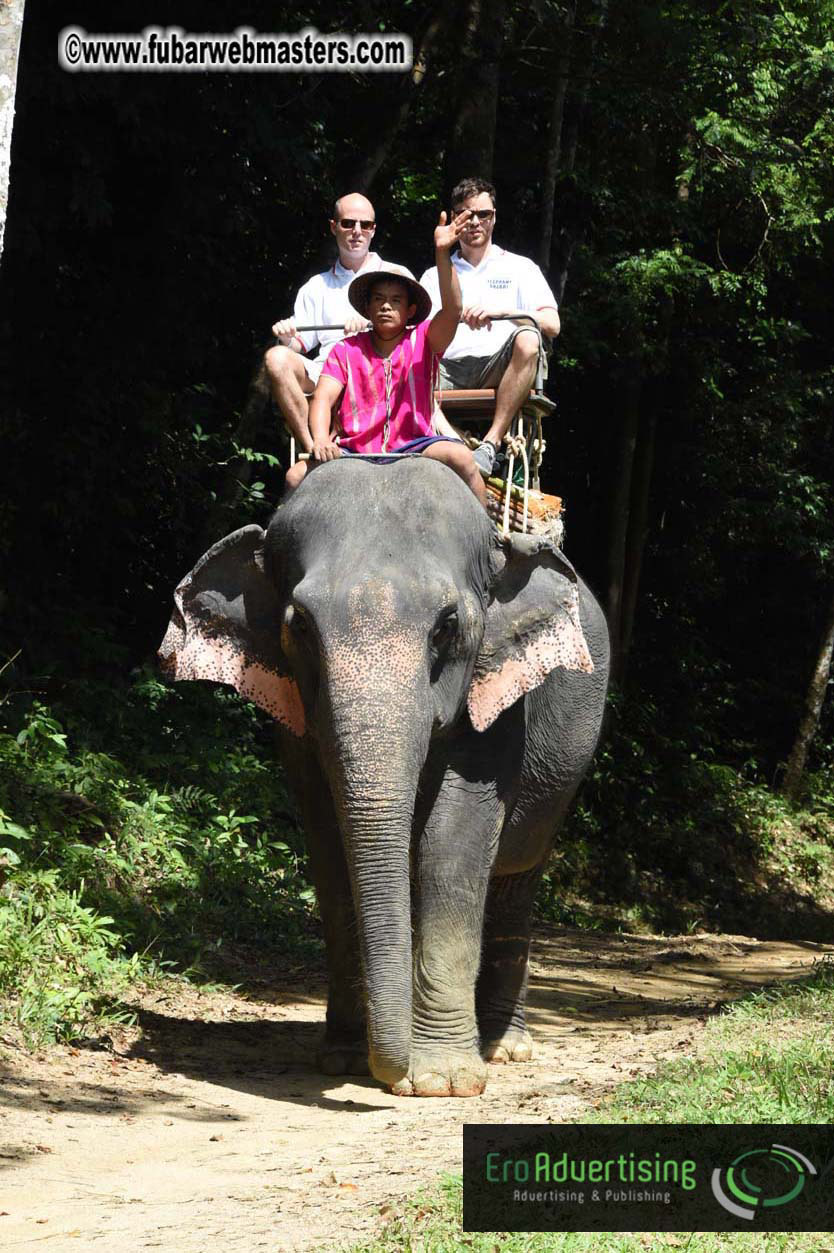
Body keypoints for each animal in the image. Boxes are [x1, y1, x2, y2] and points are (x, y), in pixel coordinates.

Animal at [159, 456, 609, 1096]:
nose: (389, 1074)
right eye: (299, 626)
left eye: (448, 625)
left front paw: (442, 1081)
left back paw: (504, 1048)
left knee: (516, 876)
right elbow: (330, 849)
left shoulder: (497, 699)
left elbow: (452, 846)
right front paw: (345, 1060)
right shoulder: (295, 720)